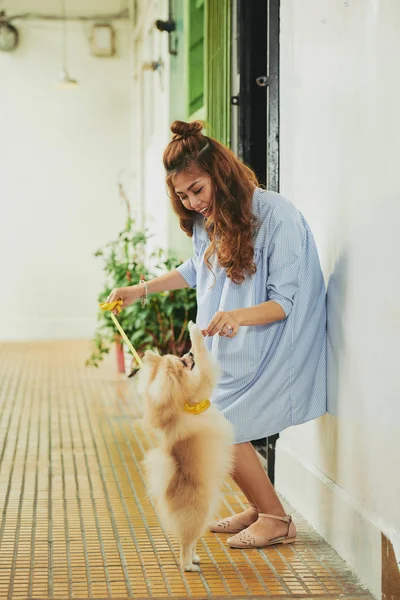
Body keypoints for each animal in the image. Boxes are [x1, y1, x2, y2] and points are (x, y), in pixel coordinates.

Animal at [139, 322, 234, 568]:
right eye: (183, 362)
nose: (188, 353)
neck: (178, 402)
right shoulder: (202, 384)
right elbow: (204, 363)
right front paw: (194, 334)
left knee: (191, 541)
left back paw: (195, 558)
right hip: (198, 512)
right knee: (186, 540)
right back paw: (188, 565)